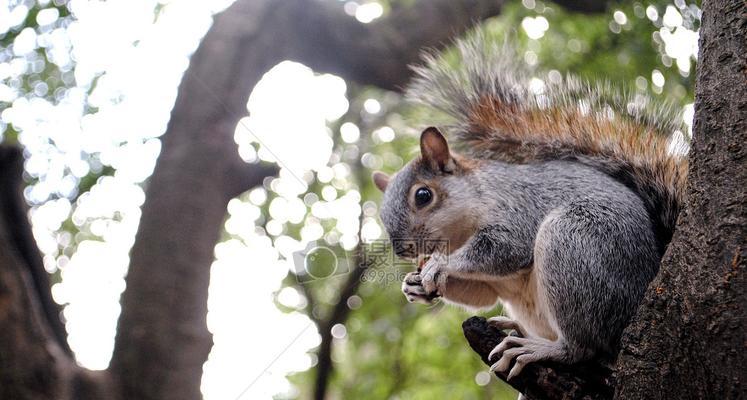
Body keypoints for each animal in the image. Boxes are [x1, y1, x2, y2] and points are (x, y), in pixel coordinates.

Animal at [372, 33, 688, 378]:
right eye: (382, 213)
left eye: (423, 196)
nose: (402, 250)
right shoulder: (488, 282)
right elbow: (481, 294)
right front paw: (413, 285)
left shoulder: (518, 208)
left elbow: (504, 248)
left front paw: (440, 264)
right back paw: (518, 330)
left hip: (575, 244)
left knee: (584, 348)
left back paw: (540, 348)